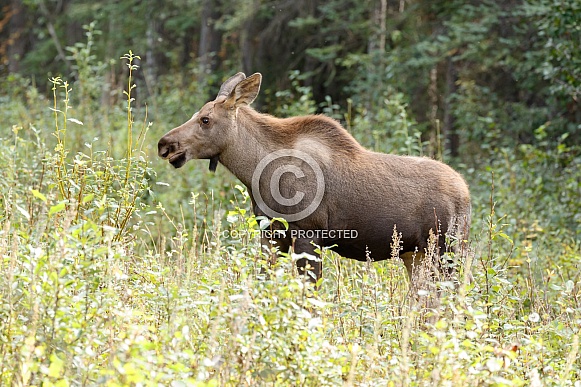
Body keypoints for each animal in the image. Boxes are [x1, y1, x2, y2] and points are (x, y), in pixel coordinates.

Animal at [160, 72, 472, 284]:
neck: (255, 173)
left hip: (445, 248)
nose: (166, 144)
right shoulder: (272, 232)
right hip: (415, 254)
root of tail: (467, 194)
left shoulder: (308, 233)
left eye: (205, 119)